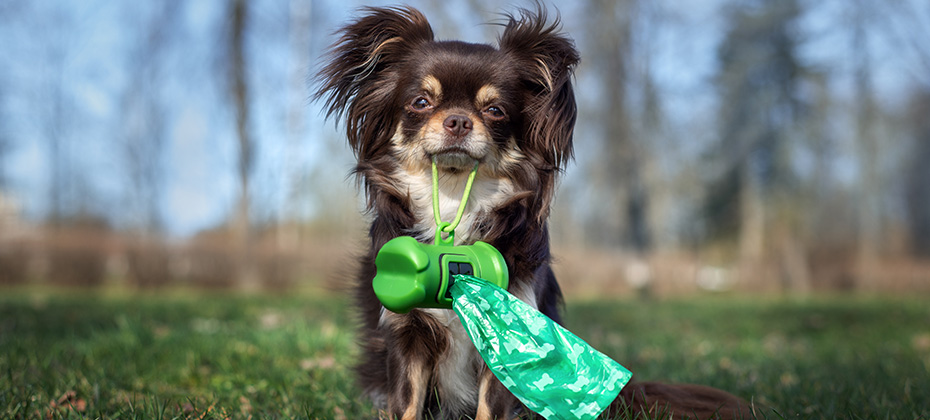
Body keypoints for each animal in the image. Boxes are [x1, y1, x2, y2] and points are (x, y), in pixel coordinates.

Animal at [316, 4, 576, 420]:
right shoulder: (407, 334)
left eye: (495, 110)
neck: (455, 201)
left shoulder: (511, 332)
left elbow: (491, 407)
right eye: (421, 102)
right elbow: (407, 402)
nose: (458, 120)